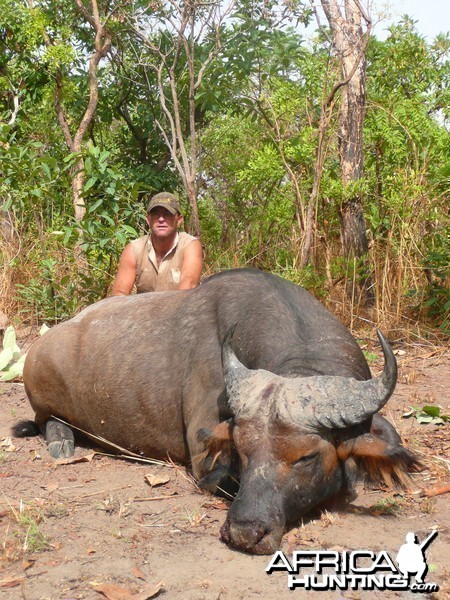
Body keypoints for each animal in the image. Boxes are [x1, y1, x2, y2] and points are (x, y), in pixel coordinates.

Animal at [12, 270, 418, 556]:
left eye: (305, 457)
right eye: (241, 449)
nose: (245, 531)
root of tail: (43, 344)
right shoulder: (205, 457)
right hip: (43, 399)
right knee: (47, 421)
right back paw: (62, 442)